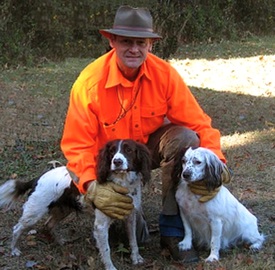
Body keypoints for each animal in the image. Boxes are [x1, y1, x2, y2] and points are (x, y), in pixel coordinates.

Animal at [94, 139, 151, 270]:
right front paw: (110, 268)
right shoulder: (100, 226)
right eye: (112, 151)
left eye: (128, 150)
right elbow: (106, 249)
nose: (117, 162)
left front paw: (136, 258)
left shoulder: (130, 216)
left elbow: (133, 239)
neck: (122, 182)